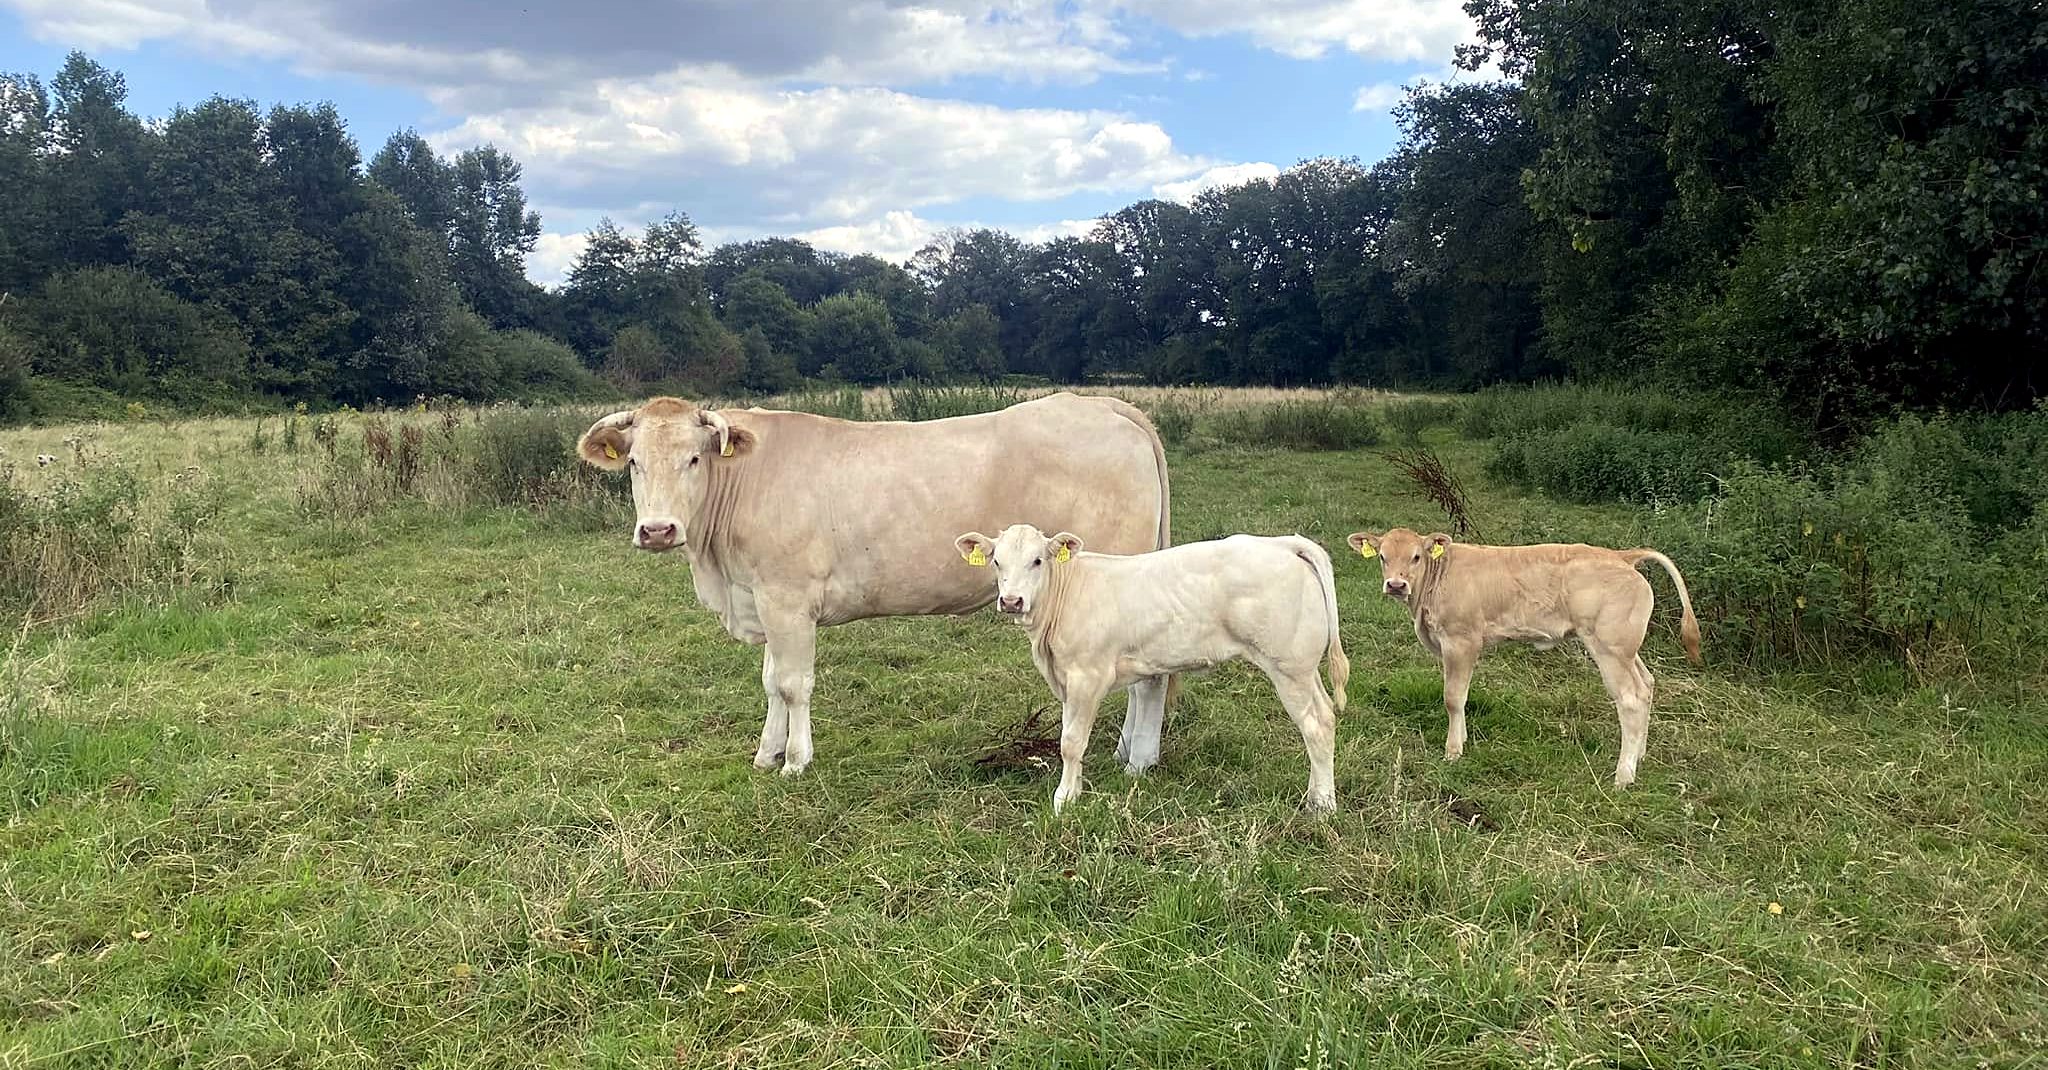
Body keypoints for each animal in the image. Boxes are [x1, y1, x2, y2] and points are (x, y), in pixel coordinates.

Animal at [577, 394, 1173, 776]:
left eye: (694, 457)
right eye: (634, 463)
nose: (658, 530)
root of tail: (1101, 404)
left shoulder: (787, 597)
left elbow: (793, 683)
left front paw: (796, 761)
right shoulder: (766, 597)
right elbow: (770, 681)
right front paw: (767, 753)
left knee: (1148, 679)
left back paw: (1137, 758)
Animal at [953, 524, 1350, 813]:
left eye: (1037, 560)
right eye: (997, 562)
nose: (1011, 601)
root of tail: (1284, 544)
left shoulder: (1087, 676)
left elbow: (1071, 742)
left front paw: (1064, 798)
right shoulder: (1067, 680)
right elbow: (1070, 736)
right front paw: (1076, 788)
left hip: (1288, 667)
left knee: (1316, 725)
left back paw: (1322, 805)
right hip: (1304, 669)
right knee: (1326, 716)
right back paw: (1317, 795)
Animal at [1346, 528, 1700, 787]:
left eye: (1416, 557)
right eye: (1382, 556)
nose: (1396, 585)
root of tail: (1621, 556)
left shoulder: (1461, 641)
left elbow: (1453, 697)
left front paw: (1453, 751)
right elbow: (1462, 695)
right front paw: (1462, 739)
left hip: (1609, 648)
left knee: (1630, 698)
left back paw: (1624, 775)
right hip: (1627, 650)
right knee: (1648, 684)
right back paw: (1639, 755)